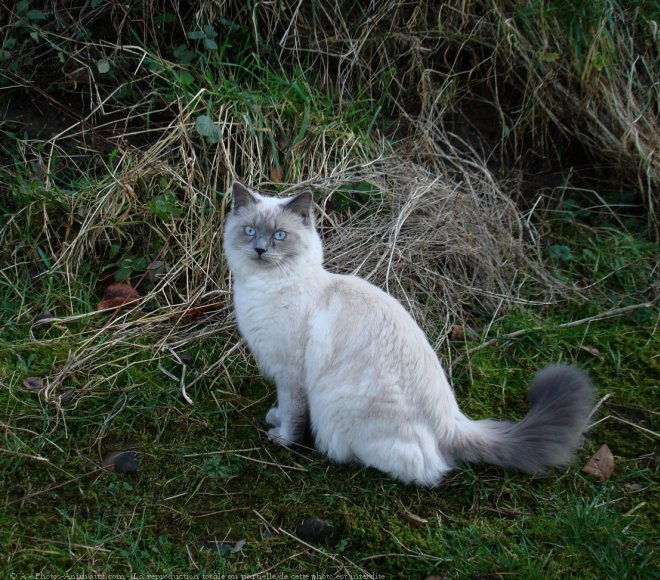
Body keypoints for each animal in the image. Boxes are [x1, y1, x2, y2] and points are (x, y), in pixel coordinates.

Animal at [224, 181, 596, 484]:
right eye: (249, 231)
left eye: (279, 236)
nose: (260, 249)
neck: (264, 287)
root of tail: (451, 423)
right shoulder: (281, 372)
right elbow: (281, 406)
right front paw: (272, 419)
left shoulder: (291, 375)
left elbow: (292, 415)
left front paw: (281, 438)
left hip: (339, 404)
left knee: (421, 470)